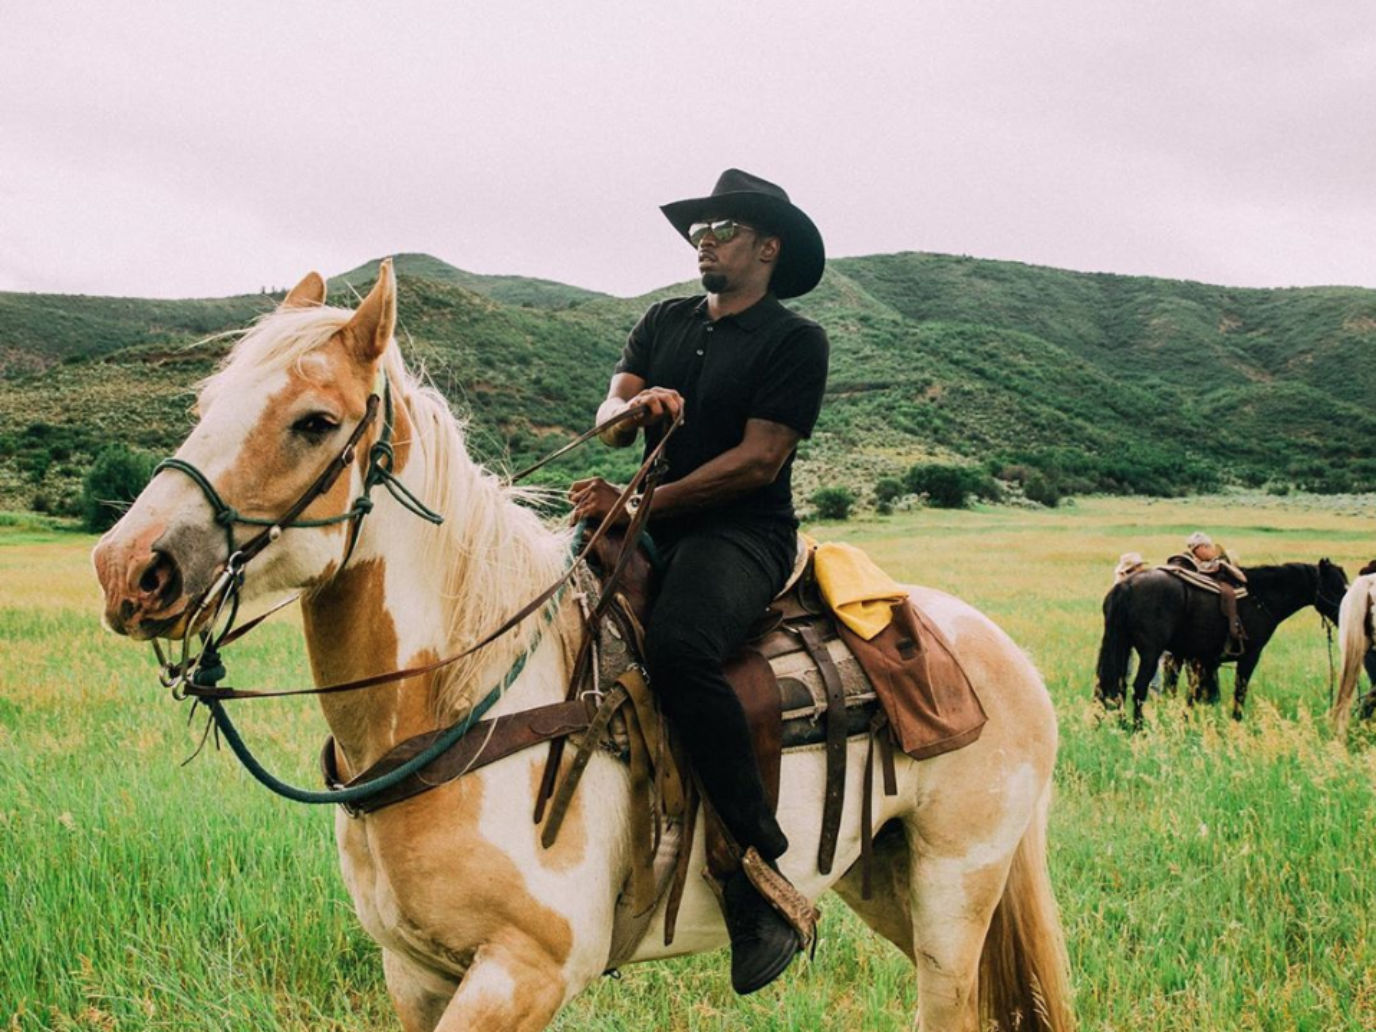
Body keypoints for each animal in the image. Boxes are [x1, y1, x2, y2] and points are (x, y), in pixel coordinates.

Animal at [94, 264, 1073, 1032]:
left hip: (957, 887)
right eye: (204, 405)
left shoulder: (525, 970)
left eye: (314, 422)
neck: (462, 703)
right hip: (883, 876)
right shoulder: (415, 976)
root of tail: (1000, 651)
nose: (129, 570)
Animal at [1100, 558, 1348, 726]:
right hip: (1150, 654)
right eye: (1336, 587)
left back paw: (1123, 725)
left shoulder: (1205, 660)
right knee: (1138, 689)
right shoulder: (1250, 656)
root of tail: (1127, 585)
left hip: (1124, 648)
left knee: (1119, 687)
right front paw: (1236, 722)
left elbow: (1197, 695)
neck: (1260, 597)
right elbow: (1239, 691)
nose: (1345, 616)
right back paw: (1138, 729)